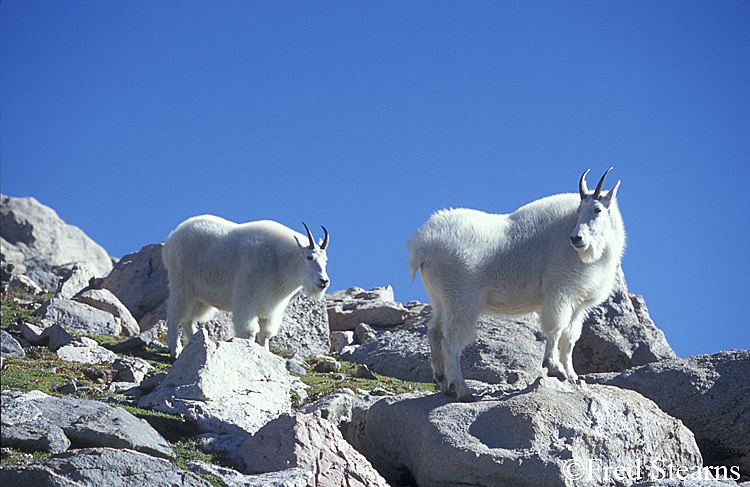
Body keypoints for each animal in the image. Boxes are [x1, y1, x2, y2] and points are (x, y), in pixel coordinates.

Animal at [163, 216, 330, 358]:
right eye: (309, 257)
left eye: (326, 260)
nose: (324, 281)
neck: (280, 262)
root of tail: (172, 237)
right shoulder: (246, 298)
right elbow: (249, 332)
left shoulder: (271, 308)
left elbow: (265, 335)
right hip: (181, 285)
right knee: (174, 315)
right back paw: (176, 350)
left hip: (200, 297)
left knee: (188, 320)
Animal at [408, 170, 624, 402]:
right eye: (578, 210)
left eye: (597, 209)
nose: (576, 238)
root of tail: (421, 244)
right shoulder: (559, 290)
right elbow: (556, 328)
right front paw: (554, 367)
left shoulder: (578, 302)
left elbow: (570, 338)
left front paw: (572, 374)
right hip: (460, 298)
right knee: (451, 341)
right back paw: (462, 389)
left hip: (440, 298)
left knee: (434, 332)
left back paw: (443, 381)